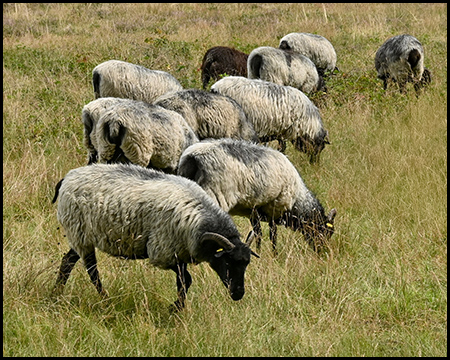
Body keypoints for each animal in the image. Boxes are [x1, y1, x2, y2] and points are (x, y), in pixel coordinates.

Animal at [51, 163, 258, 310]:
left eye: (246, 263)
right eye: (228, 262)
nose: (238, 294)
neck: (201, 218)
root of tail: (67, 178)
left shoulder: (180, 252)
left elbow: (183, 282)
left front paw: (177, 307)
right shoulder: (163, 251)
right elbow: (186, 280)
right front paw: (174, 308)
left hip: (80, 236)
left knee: (68, 261)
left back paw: (56, 293)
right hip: (80, 232)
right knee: (92, 270)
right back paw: (105, 299)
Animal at [178, 138, 336, 253]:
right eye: (325, 231)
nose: (323, 252)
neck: (298, 201)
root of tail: (193, 157)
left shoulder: (253, 211)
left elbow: (258, 233)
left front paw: (259, 252)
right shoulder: (275, 207)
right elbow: (273, 234)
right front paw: (274, 254)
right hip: (215, 195)